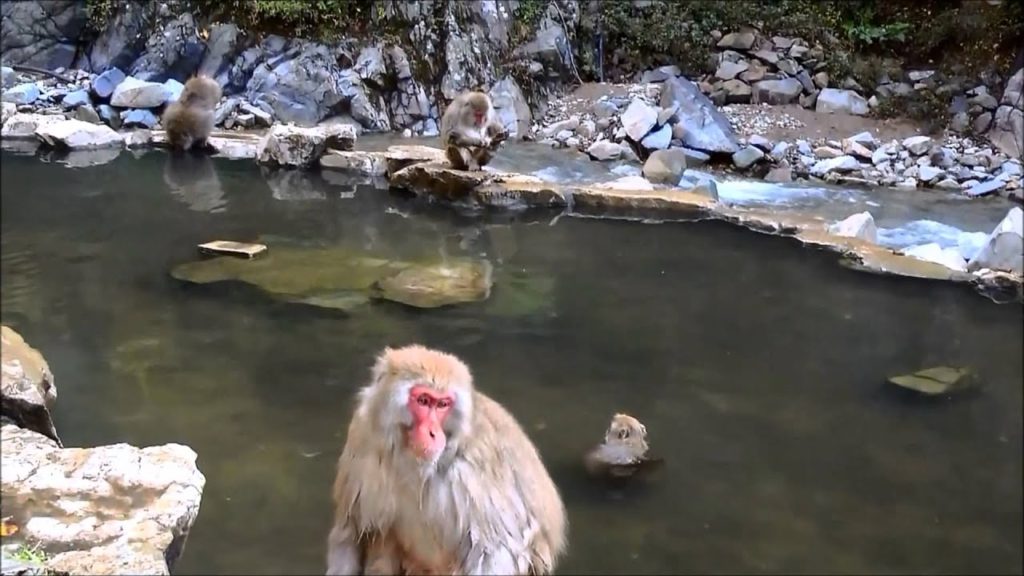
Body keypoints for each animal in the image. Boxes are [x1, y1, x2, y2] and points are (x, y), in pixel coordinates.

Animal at [326, 344, 567, 576]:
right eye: (423, 401)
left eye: (442, 404)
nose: (433, 433)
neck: (411, 459)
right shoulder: (363, 436)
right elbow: (351, 531)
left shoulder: (470, 473)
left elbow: (494, 549)